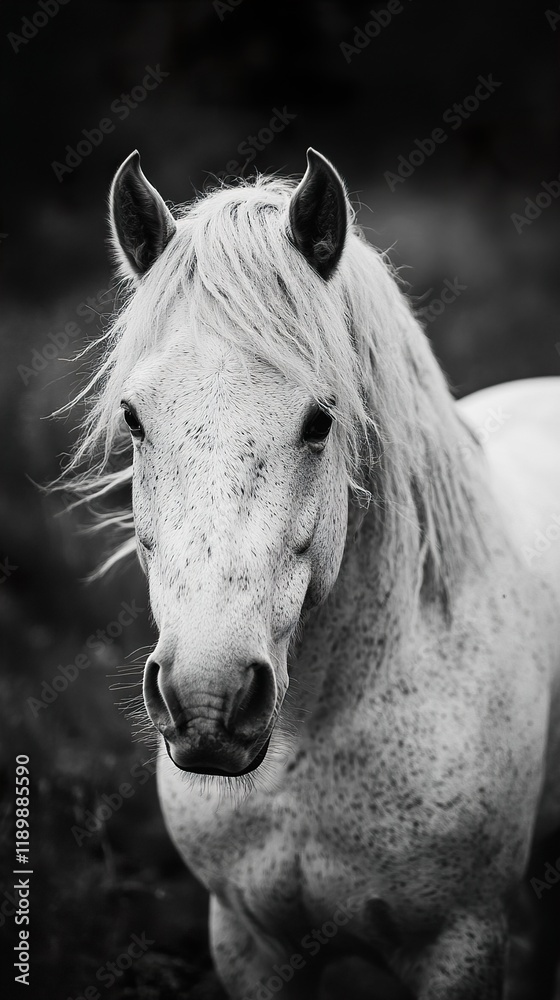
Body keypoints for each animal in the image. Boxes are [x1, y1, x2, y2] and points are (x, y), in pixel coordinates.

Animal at [68, 147, 560, 999]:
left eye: (320, 421)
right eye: (132, 418)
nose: (207, 701)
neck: (313, 739)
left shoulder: (460, 943)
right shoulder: (245, 940)